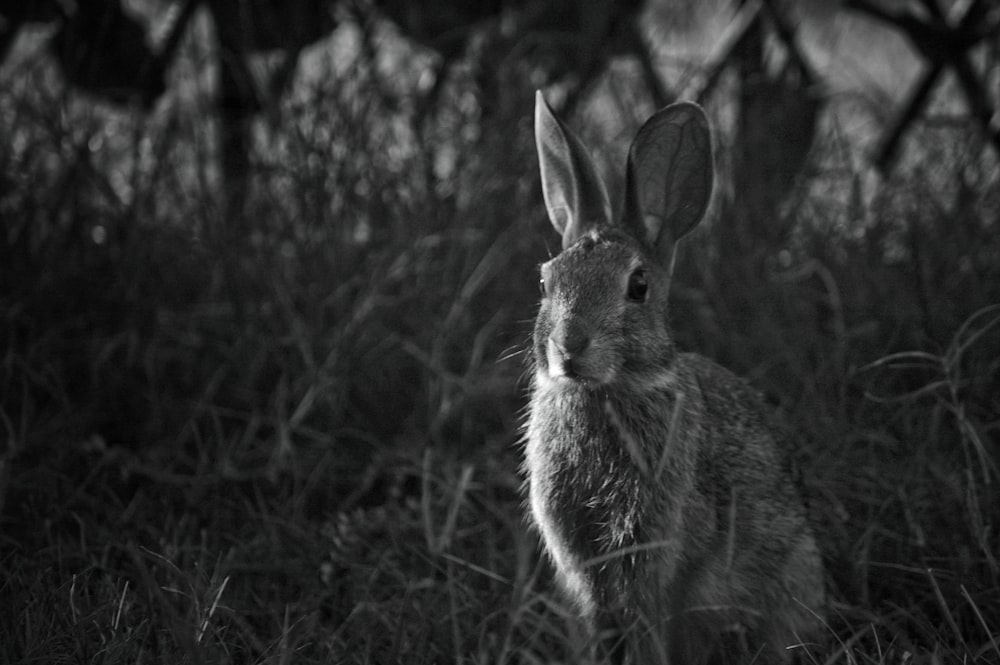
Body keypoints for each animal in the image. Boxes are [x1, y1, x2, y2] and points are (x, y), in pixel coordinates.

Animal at [528, 89, 824, 664]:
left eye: (638, 286)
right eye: (547, 282)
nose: (569, 346)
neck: (604, 392)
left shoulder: (655, 557)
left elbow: (649, 625)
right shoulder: (578, 565)